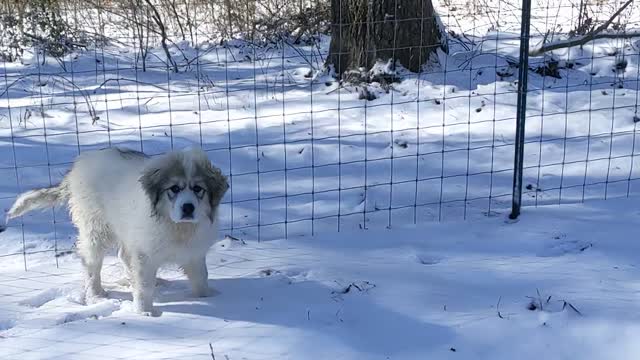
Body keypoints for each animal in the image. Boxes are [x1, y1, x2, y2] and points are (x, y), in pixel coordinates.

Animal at [5, 146, 230, 316]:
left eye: (198, 189)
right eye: (174, 189)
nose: (188, 208)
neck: (177, 226)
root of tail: (81, 163)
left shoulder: (194, 252)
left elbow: (201, 278)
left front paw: (211, 298)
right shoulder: (145, 253)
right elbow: (144, 285)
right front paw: (144, 312)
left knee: (123, 255)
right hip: (96, 228)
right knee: (92, 264)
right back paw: (96, 295)